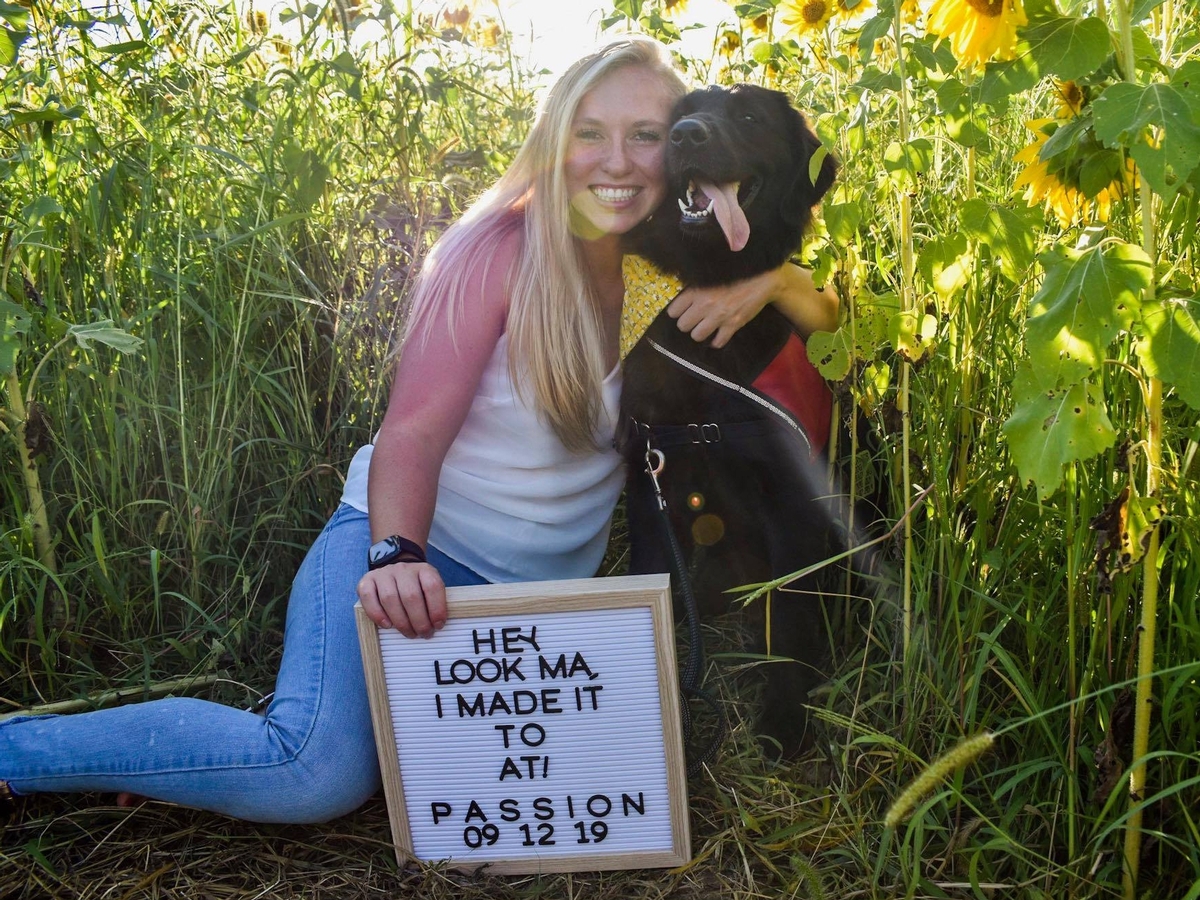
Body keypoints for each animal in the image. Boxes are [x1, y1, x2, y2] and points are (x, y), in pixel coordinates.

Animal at [624, 84, 840, 763]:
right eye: (681, 112)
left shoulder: (792, 500)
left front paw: (783, 718)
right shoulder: (648, 477)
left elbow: (790, 617)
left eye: (748, 116)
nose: (686, 135)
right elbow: (655, 574)